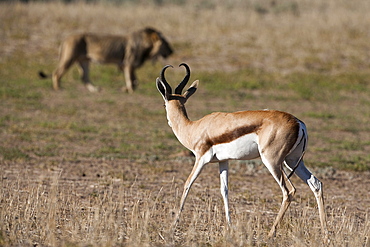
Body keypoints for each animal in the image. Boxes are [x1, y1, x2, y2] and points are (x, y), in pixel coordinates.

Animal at [39, 27, 173, 92]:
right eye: (165, 43)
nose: (172, 51)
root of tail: (66, 38)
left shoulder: (126, 65)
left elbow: (135, 80)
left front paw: (125, 89)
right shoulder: (128, 64)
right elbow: (130, 79)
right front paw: (130, 90)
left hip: (84, 61)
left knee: (84, 77)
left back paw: (94, 90)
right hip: (69, 58)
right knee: (57, 73)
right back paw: (58, 88)